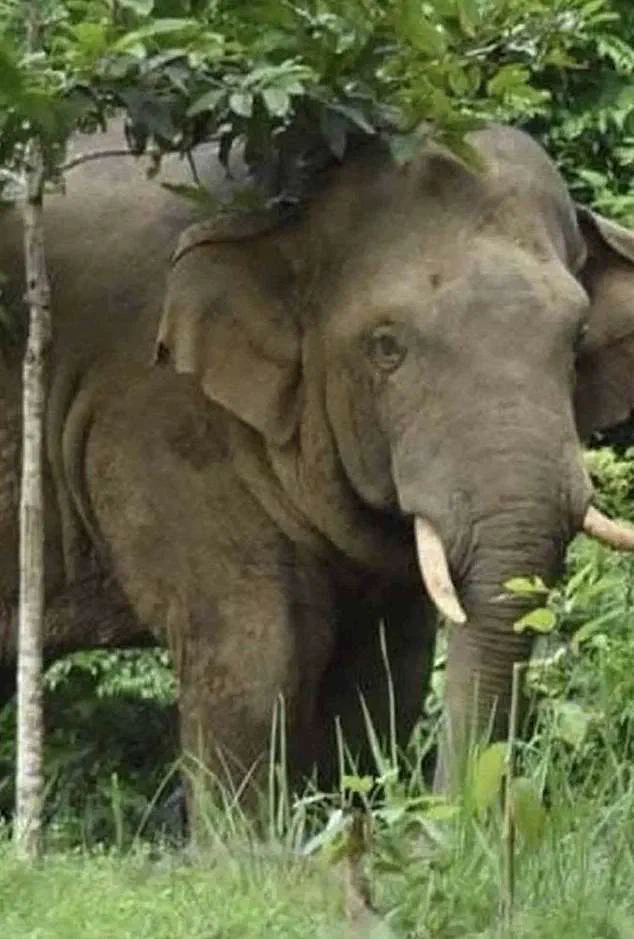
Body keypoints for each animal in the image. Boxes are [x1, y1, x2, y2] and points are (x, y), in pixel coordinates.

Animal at [0, 121, 633, 811]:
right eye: (386, 347)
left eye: (577, 339)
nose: (444, 816)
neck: (286, 207)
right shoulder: (151, 417)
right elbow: (253, 655)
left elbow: (386, 668)